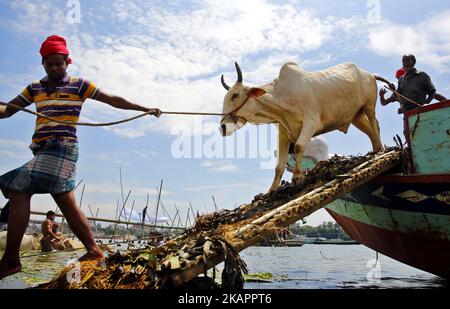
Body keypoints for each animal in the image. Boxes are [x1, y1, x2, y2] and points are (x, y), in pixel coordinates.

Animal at [220, 60, 388, 190]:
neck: (280, 99)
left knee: (375, 125)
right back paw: (375, 150)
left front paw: (297, 177)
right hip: (355, 116)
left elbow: (299, 147)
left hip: (369, 106)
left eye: (235, 95)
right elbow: (279, 165)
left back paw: (380, 149)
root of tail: (368, 73)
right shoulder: (283, 133)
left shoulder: (311, 123)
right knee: (369, 131)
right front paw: (272, 189)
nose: (223, 127)